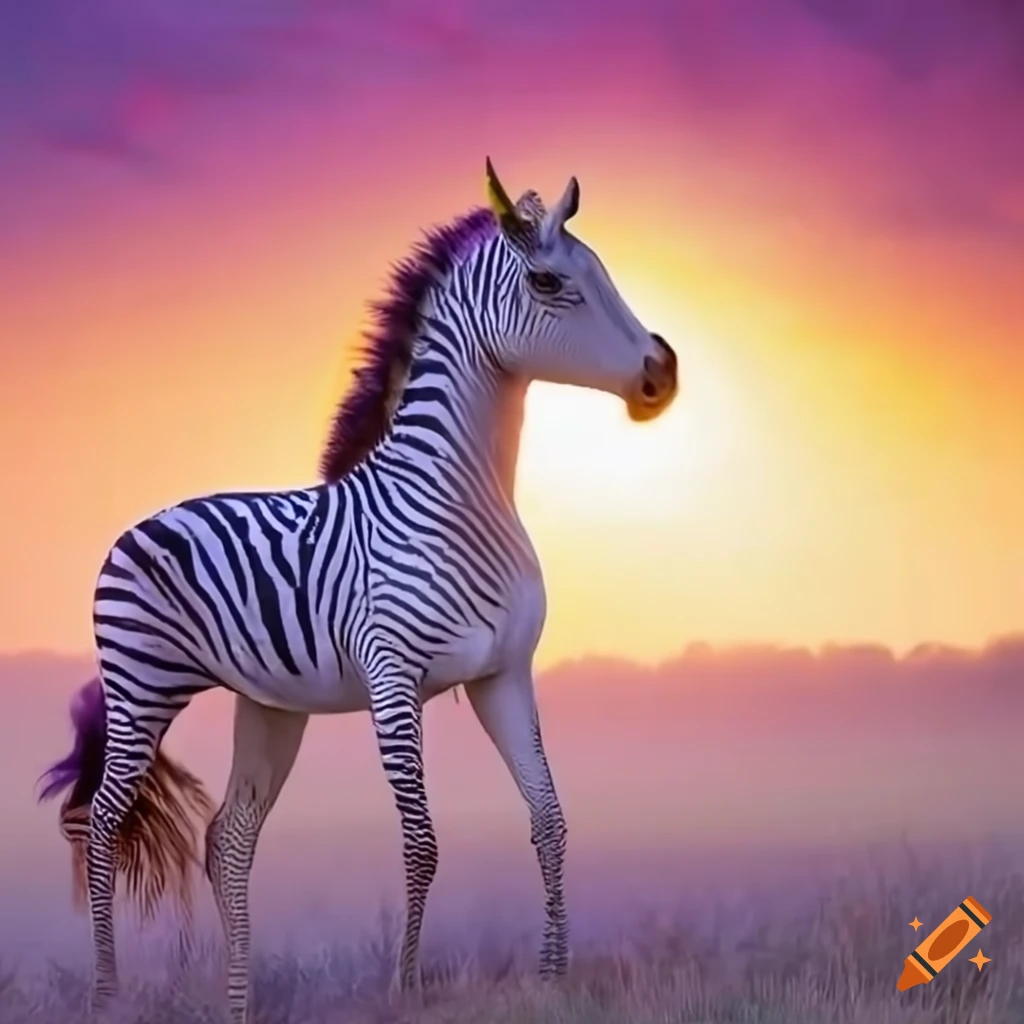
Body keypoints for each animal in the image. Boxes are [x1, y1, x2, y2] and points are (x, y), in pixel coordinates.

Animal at [38, 158, 679, 1023]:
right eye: (549, 282)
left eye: (602, 271)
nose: (663, 372)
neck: (453, 500)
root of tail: (139, 523)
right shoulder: (392, 677)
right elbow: (422, 841)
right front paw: (405, 989)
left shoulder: (503, 675)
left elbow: (549, 818)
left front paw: (554, 976)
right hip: (142, 686)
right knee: (105, 819)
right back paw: (107, 993)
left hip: (269, 705)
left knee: (228, 838)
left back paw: (239, 1005)